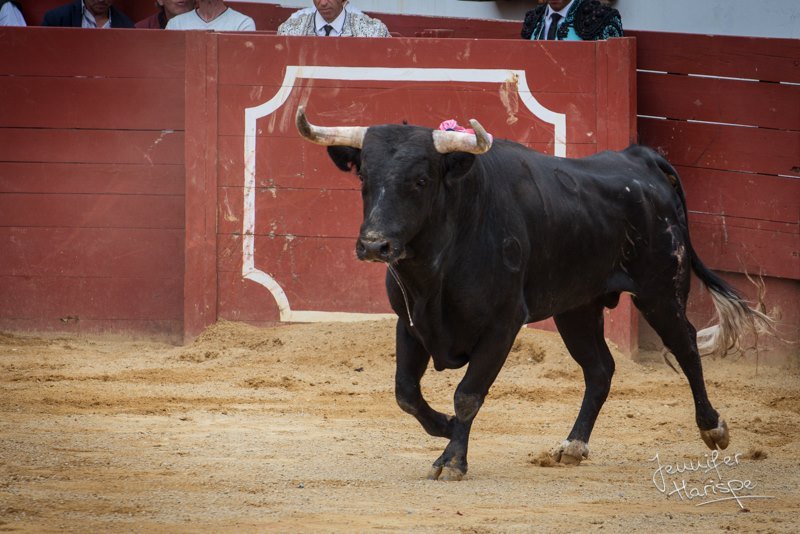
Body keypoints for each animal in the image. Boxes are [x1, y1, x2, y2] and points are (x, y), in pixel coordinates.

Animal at [295, 106, 774, 481]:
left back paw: (713, 428)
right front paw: (445, 429)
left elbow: (468, 394)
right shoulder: (410, 323)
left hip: (661, 290)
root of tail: (638, 159)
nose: (375, 245)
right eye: (364, 176)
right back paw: (573, 446)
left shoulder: (502, 325)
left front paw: (452, 460)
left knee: (686, 345)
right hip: (578, 308)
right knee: (600, 368)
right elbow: (406, 393)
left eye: (421, 180)